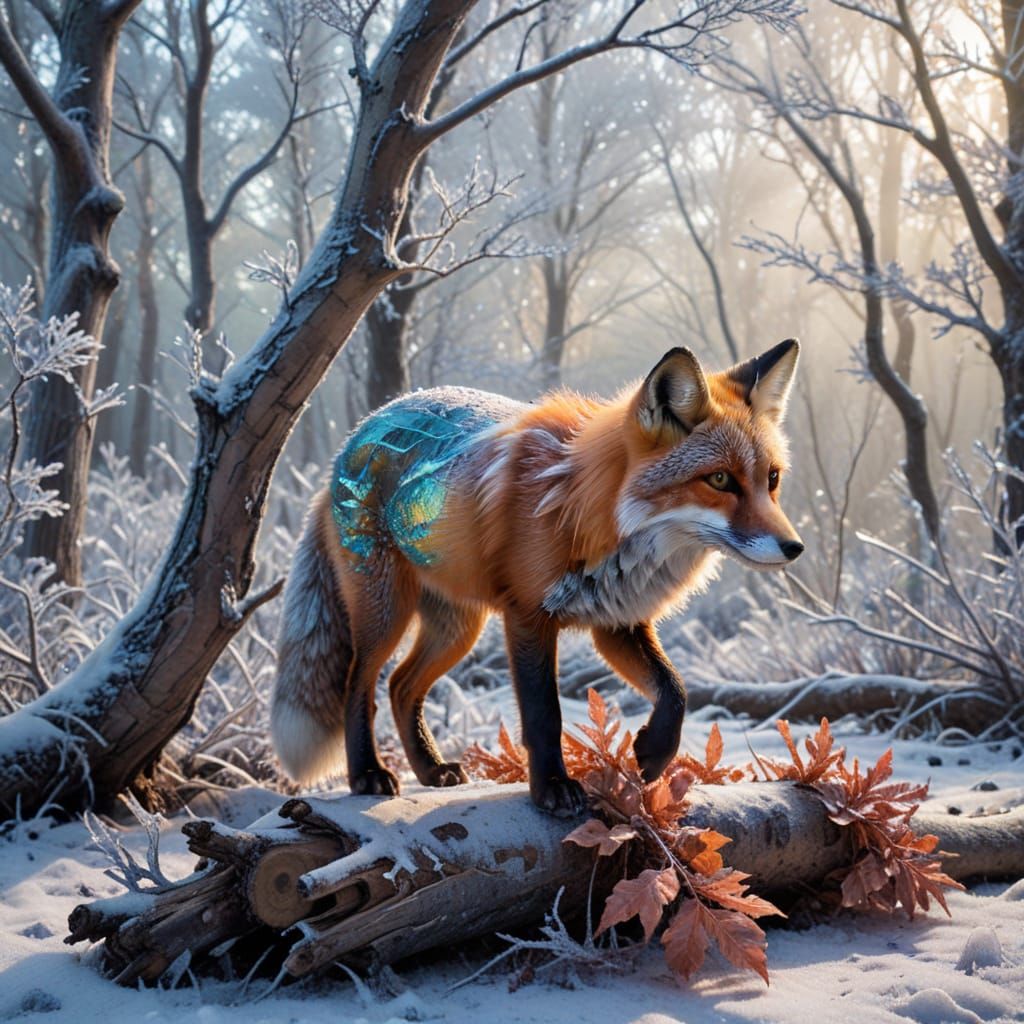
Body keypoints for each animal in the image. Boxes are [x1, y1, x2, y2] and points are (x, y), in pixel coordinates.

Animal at [271, 340, 803, 817]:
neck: (591, 512)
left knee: (402, 686)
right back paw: (367, 774)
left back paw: (430, 769)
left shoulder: (618, 622)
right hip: (386, 612)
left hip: (458, 629)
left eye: (772, 479)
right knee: (358, 685)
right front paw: (552, 788)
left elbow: (676, 690)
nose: (793, 548)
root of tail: (353, 438)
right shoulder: (528, 616)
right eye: (720, 480)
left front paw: (653, 753)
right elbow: (544, 714)